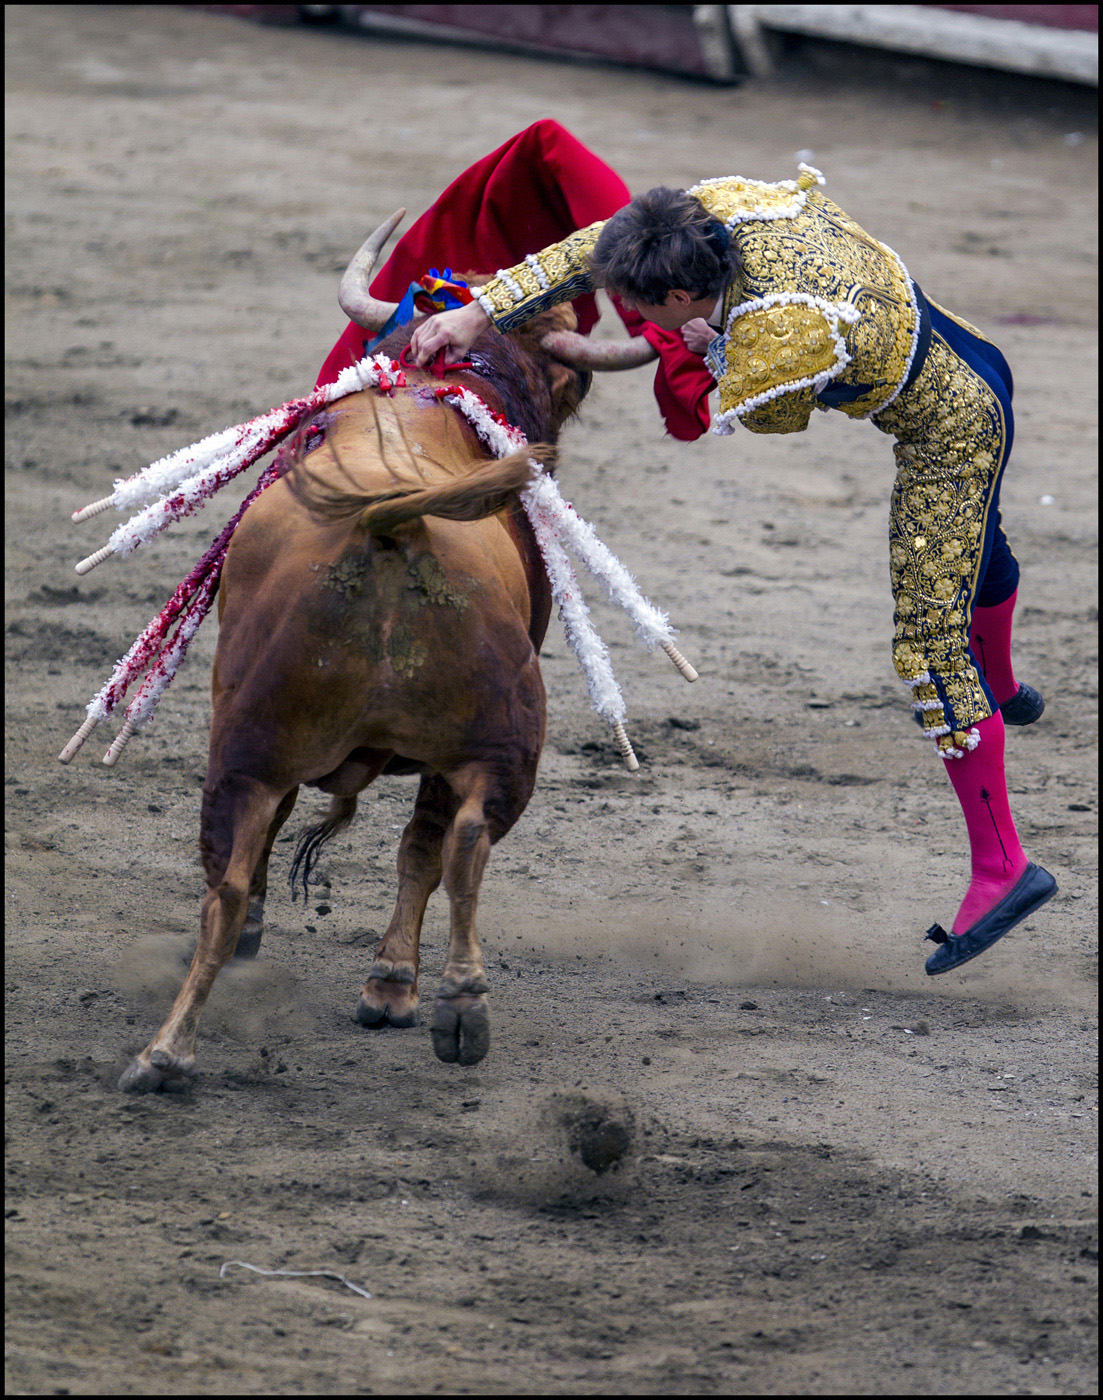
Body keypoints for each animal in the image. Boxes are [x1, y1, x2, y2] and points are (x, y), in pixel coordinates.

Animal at [118, 212, 655, 1092]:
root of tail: (389, 520)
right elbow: (420, 848)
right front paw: (395, 984)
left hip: (247, 746)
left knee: (225, 883)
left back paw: (166, 1054)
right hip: (494, 740)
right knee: (456, 840)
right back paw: (450, 1001)